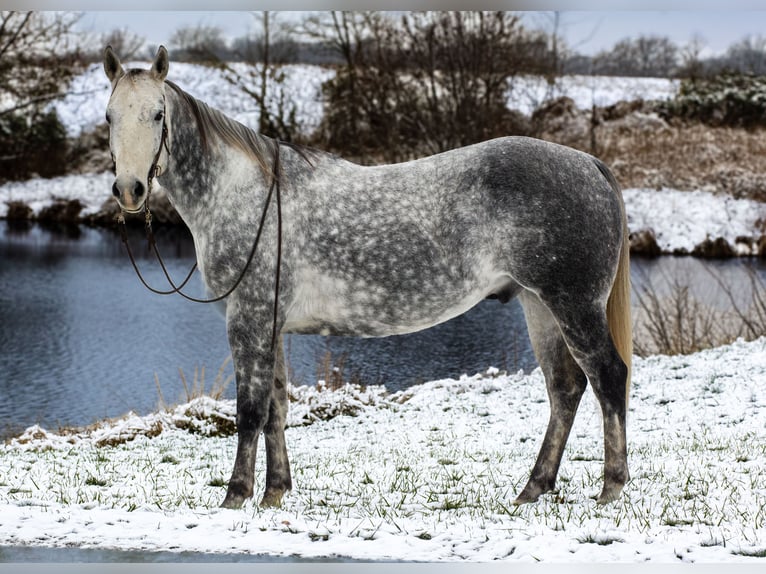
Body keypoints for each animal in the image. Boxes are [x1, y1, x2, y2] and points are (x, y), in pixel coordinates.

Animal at [103, 45, 633, 510]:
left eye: (157, 114)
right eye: (109, 117)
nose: (129, 190)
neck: (244, 193)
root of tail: (589, 164)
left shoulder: (247, 320)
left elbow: (250, 410)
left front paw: (236, 496)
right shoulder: (270, 324)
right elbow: (277, 407)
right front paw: (274, 494)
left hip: (573, 305)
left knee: (608, 377)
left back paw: (611, 488)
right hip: (539, 305)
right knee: (565, 389)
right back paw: (533, 488)